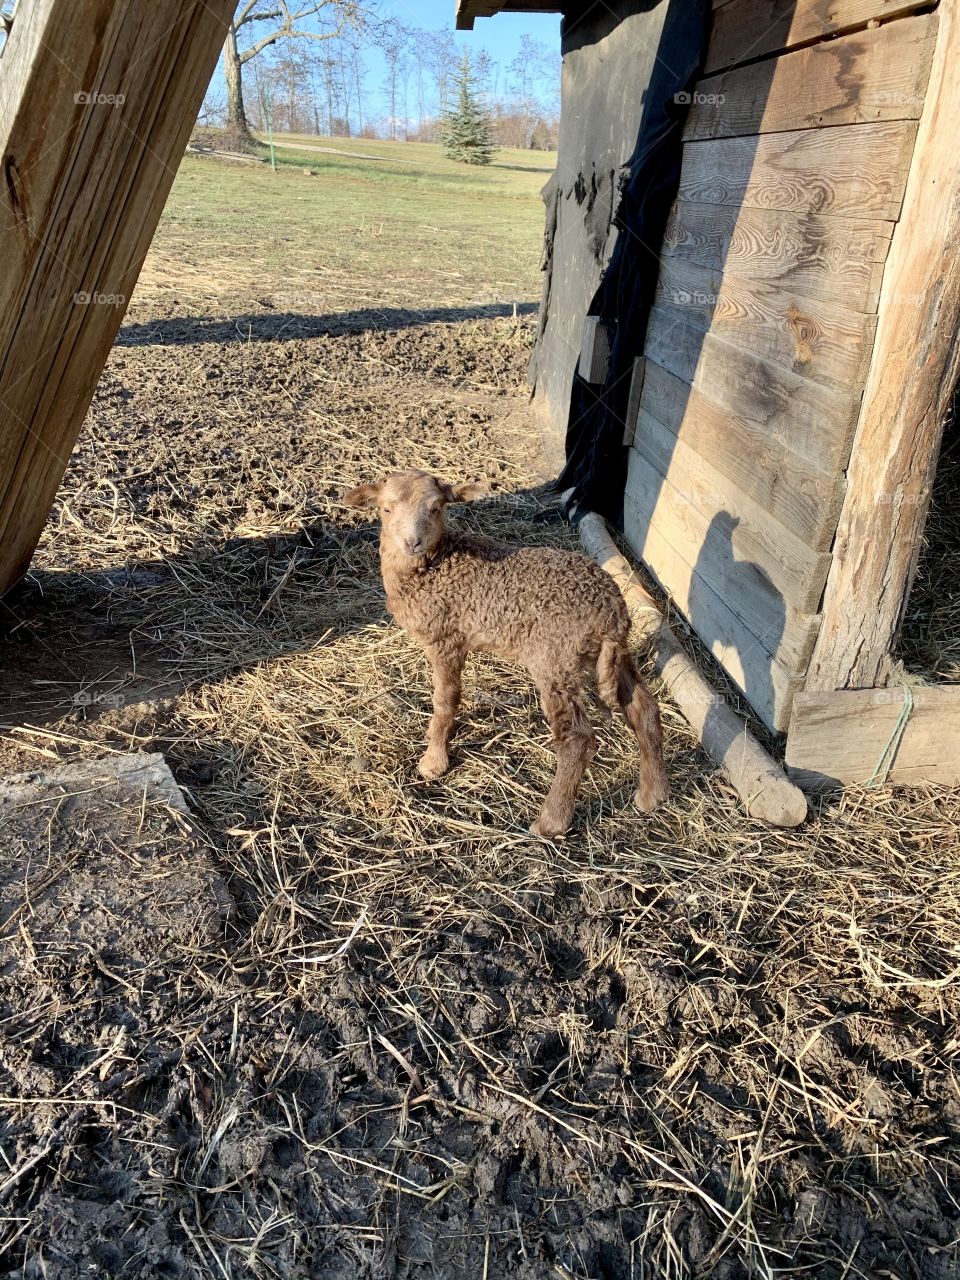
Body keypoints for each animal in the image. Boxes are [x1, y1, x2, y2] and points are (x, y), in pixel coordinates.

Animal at [344, 470, 669, 838]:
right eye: (385, 509)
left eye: (437, 508)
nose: (413, 542)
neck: (434, 567)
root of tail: (610, 616)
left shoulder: (446, 639)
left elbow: (445, 701)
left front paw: (433, 762)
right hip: (614, 655)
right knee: (643, 708)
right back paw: (652, 794)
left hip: (555, 659)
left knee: (577, 738)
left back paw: (551, 822)